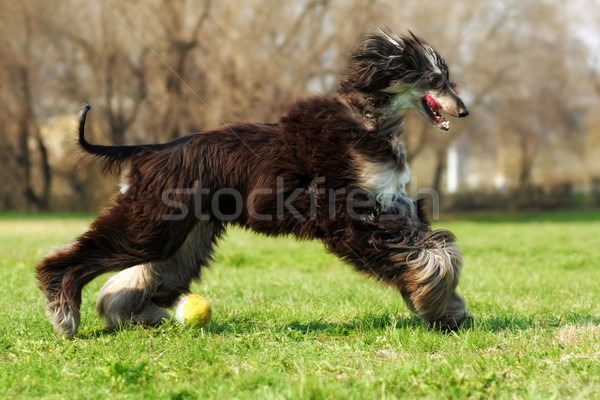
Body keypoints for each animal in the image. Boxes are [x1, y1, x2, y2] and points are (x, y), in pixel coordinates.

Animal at [35, 29, 472, 340]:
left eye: (447, 78)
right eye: (435, 78)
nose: (465, 110)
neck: (368, 122)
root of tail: (154, 149)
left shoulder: (394, 205)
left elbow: (439, 248)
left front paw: (448, 312)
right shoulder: (351, 216)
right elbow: (430, 258)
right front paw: (433, 303)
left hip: (184, 232)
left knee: (152, 274)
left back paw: (126, 314)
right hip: (154, 221)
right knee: (72, 260)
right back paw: (63, 311)